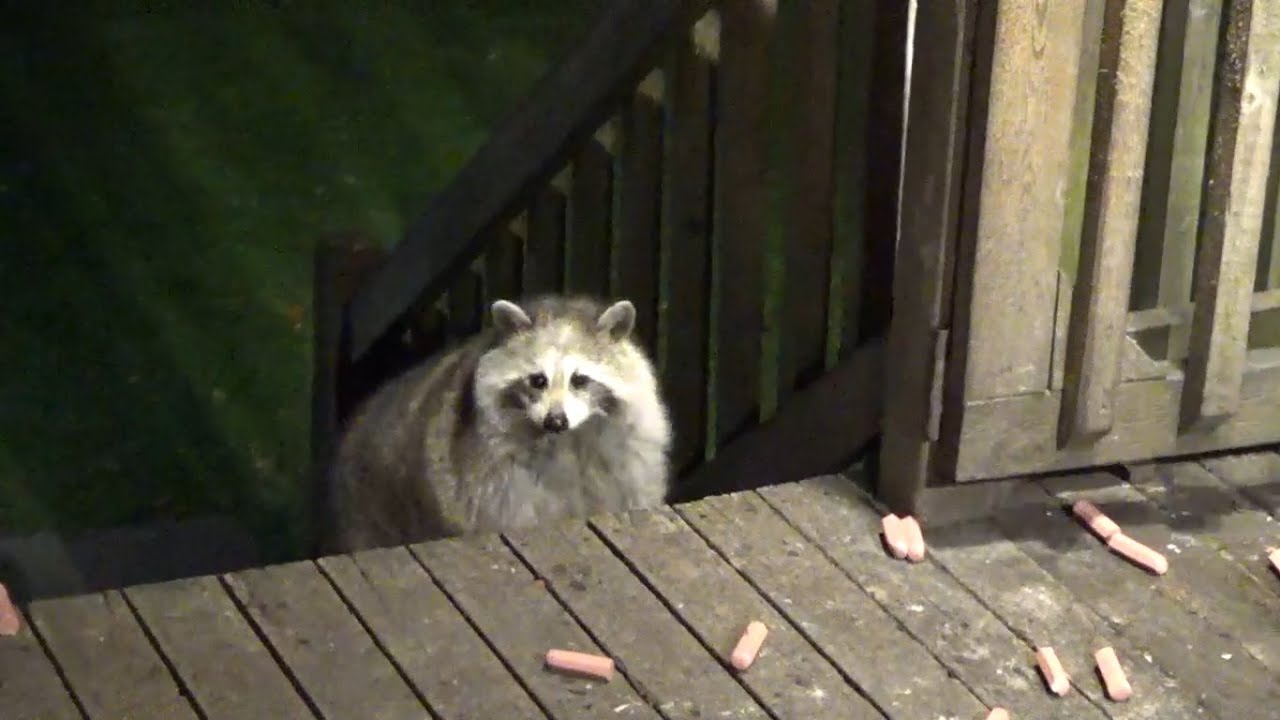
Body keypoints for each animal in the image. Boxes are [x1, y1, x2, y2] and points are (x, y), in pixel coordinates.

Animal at [324, 295, 672, 552]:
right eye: (538, 380)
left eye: (580, 380)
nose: (555, 420)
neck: (565, 440)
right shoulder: (492, 478)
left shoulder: (628, 459)